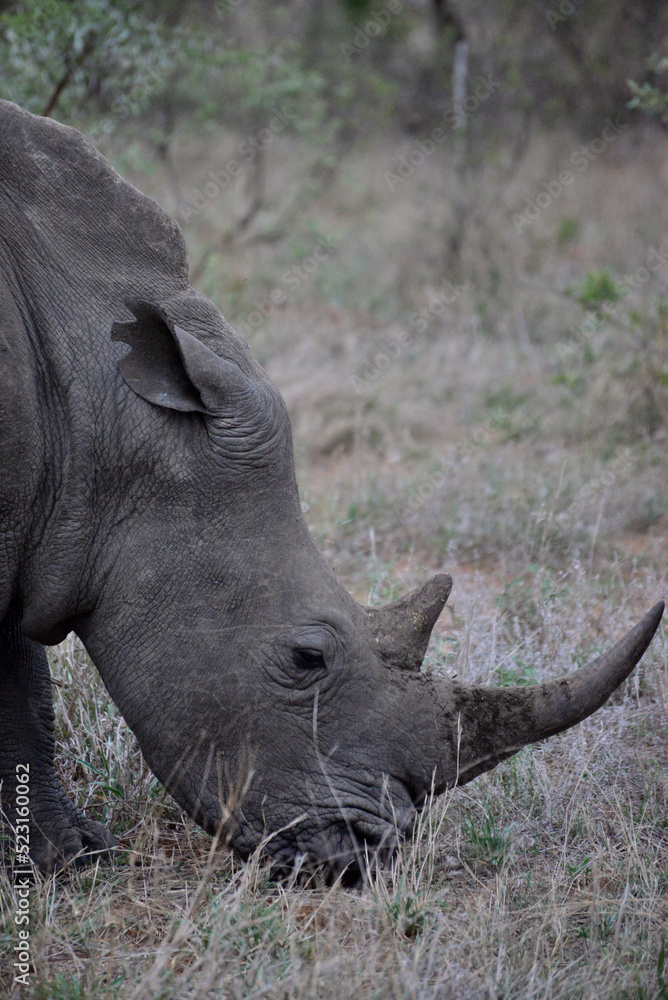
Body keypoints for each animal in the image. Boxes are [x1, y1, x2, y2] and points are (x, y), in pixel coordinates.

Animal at [0, 100, 663, 881]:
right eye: (305, 658)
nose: (368, 856)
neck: (94, 401)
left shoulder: (36, 517)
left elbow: (23, 688)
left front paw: (65, 859)